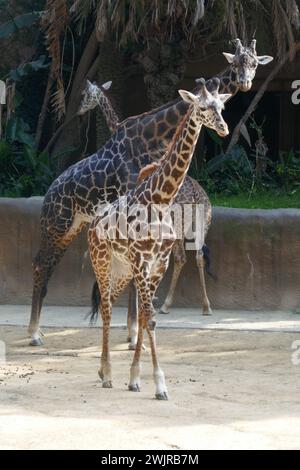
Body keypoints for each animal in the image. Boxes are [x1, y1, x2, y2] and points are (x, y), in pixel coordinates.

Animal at [28, 39, 272, 346]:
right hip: (56, 224)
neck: (152, 137)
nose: (245, 82)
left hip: (73, 226)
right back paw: (34, 333)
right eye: (237, 61)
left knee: (48, 263)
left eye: (254, 63)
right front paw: (134, 332)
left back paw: (39, 330)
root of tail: (49, 193)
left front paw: (133, 330)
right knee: (40, 263)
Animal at [88, 78, 231, 400]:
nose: (224, 128)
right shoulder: (142, 262)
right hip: (102, 262)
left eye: (222, 106)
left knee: (110, 303)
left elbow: (145, 316)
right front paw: (160, 384)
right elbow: (150, 317)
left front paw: (135, 378)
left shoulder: (158, 263)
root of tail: (92, 226)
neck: (161, 199)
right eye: (203, 107)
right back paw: (106, 374)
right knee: (105, 308)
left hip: (122, 269)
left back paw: (104, 371)